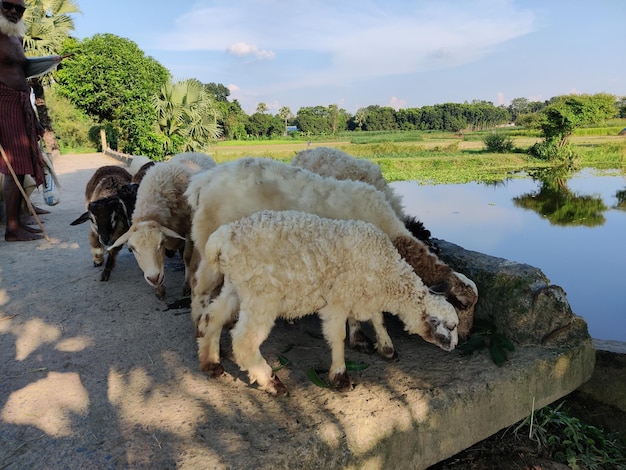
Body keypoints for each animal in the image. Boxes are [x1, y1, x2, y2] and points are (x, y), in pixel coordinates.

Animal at [185, 157, 478, 342]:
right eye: (461, 304)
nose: (465, 339)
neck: (390, 227)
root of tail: (203, 181)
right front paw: (359, 337)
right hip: (208, 243)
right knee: (199, 286)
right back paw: (199, 323)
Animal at [196, 211, 458, 394]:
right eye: (451, 326)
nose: (454, 346)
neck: (387, 273)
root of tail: (223, 237)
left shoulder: (362, 294)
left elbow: (378, 318)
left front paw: (385, 347)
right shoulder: (338, 300)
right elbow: (337, 336)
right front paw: (340, 376)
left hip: (235, 286)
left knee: (212, 316)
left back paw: (211, 363)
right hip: (262, 296)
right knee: (244, 341)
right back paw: (272, 382)